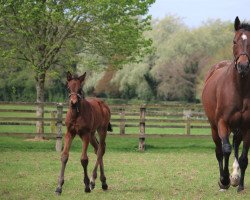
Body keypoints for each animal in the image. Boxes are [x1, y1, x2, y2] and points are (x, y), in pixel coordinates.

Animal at [202, 16, 250, 192]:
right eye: (234, 41)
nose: (243, 66)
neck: (239, 89)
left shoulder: (247, 126)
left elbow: (243, 157)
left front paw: (240, 185)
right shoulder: (222, 122)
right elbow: (226, 150)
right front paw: (224, 180)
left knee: (236, 144)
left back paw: (235, 177)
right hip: (214, 127)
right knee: (220, 150)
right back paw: (225, 181)